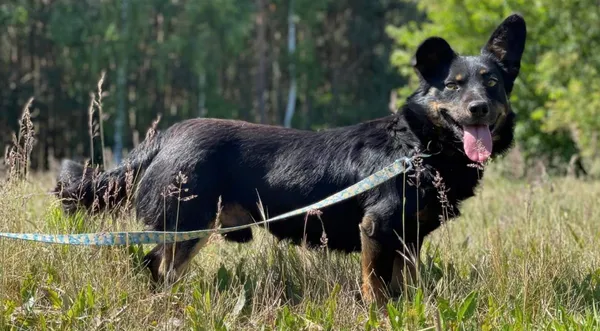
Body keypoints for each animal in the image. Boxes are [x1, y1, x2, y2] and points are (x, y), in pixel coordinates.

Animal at [55, 14, 524, 306]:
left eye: (493, 83)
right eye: (453, 85)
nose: (479, 108)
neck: (415, 147)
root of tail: (166, 136)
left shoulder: (409, 240)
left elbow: (406, 287)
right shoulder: (377, 228)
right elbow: (375, 289)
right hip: (186, 225)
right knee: (155, 266)